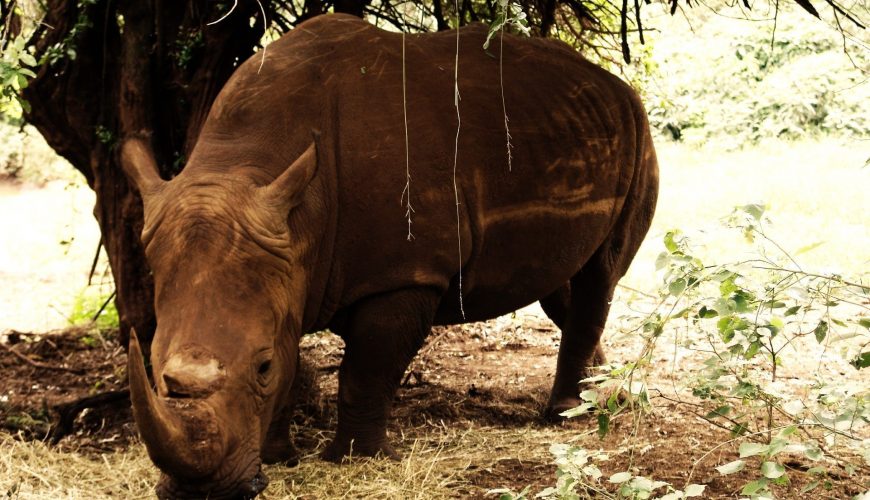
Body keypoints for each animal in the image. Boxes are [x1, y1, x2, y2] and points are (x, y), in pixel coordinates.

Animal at [121, 13, 658, 499]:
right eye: (153, 367)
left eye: (262, 367)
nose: (201, 493)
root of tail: (612, 83)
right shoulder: (284, 265)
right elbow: (297, 358)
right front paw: (278, 459)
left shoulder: (405, 273)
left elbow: (366, 368)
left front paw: (354, 459)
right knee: (564, 286)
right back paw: (599, 398)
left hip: (640, 136)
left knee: (600, 276)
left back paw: (565, 413)